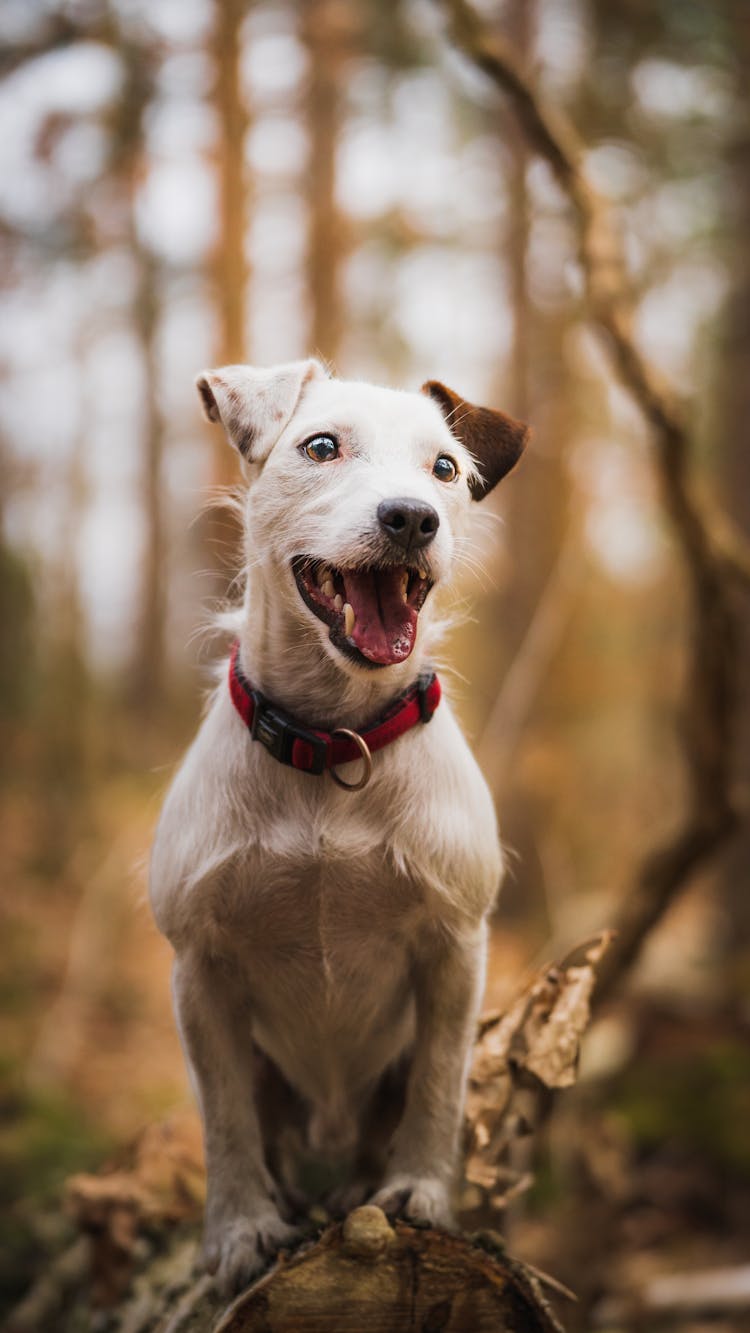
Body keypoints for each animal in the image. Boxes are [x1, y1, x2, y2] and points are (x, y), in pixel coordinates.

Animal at [149, 359, 527, 1295]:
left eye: (443, 469)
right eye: (321, 447)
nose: (412, 518)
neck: (333, 743)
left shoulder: (454, 948)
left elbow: (438, 1085)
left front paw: (420, 1189)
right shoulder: (201, 970)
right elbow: (226, 1118)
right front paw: (239, 1228)